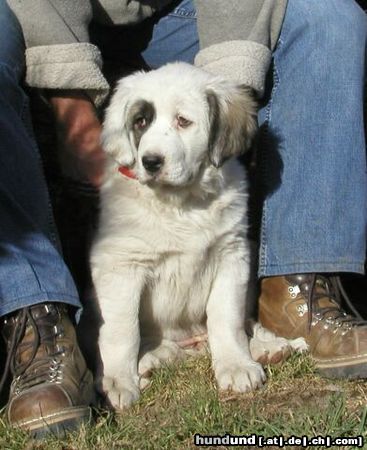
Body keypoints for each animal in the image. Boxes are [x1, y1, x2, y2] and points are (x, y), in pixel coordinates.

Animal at [90, 63, 308, 412]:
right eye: (140, 122)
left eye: (183, 121)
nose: (151, 162)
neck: (182, 203)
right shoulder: (120, 266)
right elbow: (122, 330)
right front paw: (118, 382)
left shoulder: (232, 255)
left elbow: (227, 318)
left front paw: (236, 365)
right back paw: (148, 362)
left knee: (239, 325)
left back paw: (269, 347)